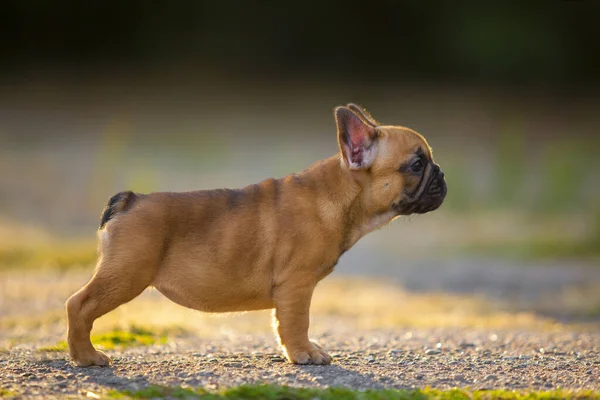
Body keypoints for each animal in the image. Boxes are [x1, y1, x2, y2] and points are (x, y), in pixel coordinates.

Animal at [68, 103, 448, 366]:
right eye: (417, 165)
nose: (442, 175)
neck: (340, 194)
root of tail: (129, 200)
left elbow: (282, 324)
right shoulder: (297, 284)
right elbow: (297, 322)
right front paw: (304, 354)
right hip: (127, 274)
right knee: (79, 305)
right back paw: (86, 357)